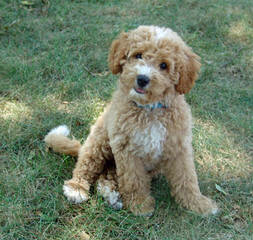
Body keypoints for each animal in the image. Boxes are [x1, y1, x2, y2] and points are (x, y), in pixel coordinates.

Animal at [44, 25, 218, 216]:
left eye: (164, 65)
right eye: (138, 55)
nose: (142, 79)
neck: (149, 109)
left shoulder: (178, 146)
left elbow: (187, 178)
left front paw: (197, 203)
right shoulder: (127, 148)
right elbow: (133, 180)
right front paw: (140, 205)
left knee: (107, 176)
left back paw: (111, 194)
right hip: (99, 141)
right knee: (87, 165)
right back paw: (77, 188)